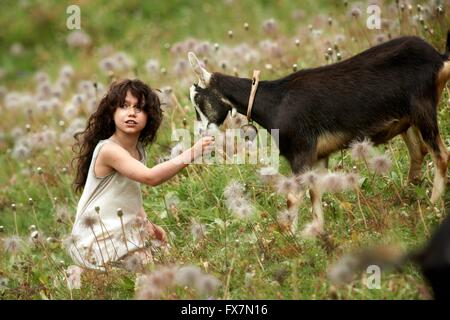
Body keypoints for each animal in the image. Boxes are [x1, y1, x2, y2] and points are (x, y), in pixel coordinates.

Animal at [188, 31, 450, 205]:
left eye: (197, 99)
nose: (201, 134)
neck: (276, 101)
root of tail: (438, 58)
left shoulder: (301, 152)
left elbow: (293, 197)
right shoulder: (319, 156)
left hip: (423, 109)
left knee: (441, 156)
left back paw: (432, 205)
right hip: (408, 119)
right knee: (418, 153)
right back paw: (407, 198)